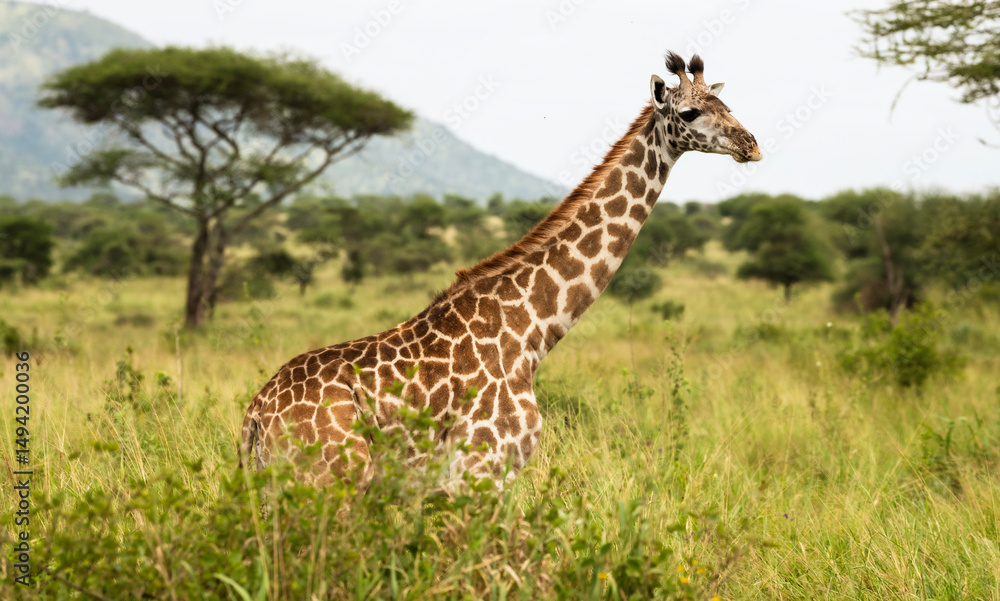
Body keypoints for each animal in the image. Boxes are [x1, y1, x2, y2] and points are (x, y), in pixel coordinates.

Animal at [240, 52, 761, 490]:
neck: (531, 329)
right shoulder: (480, 468)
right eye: (689, 113)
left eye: (725, 103)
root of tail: (256, 416)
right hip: (331, 480)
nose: (750, 144)